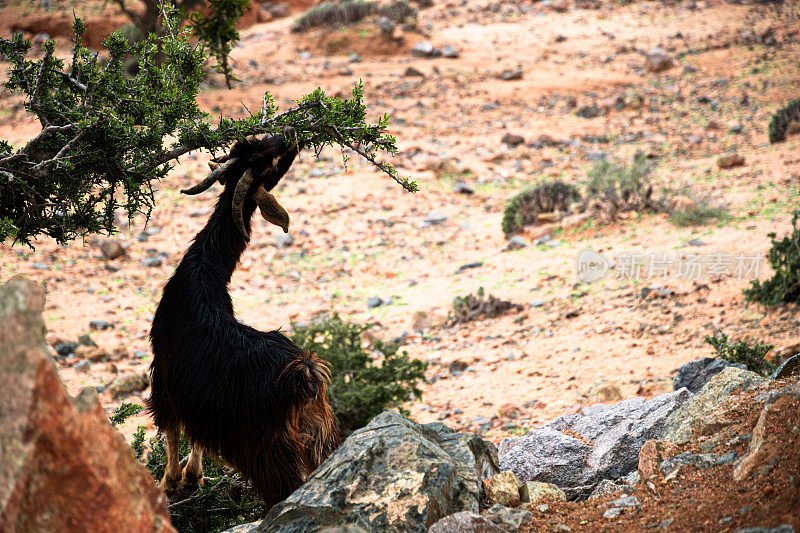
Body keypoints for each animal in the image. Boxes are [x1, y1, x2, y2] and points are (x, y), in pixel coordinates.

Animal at [148, 135, 340, 504]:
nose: (287, 137)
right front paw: (192, 477)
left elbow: (172, 428)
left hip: (267, 452)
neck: (204, 270)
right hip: (319, 436)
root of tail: (304, 375)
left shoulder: (164, 374)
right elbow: (193, 433)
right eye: (262, 152)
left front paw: (173, 481)